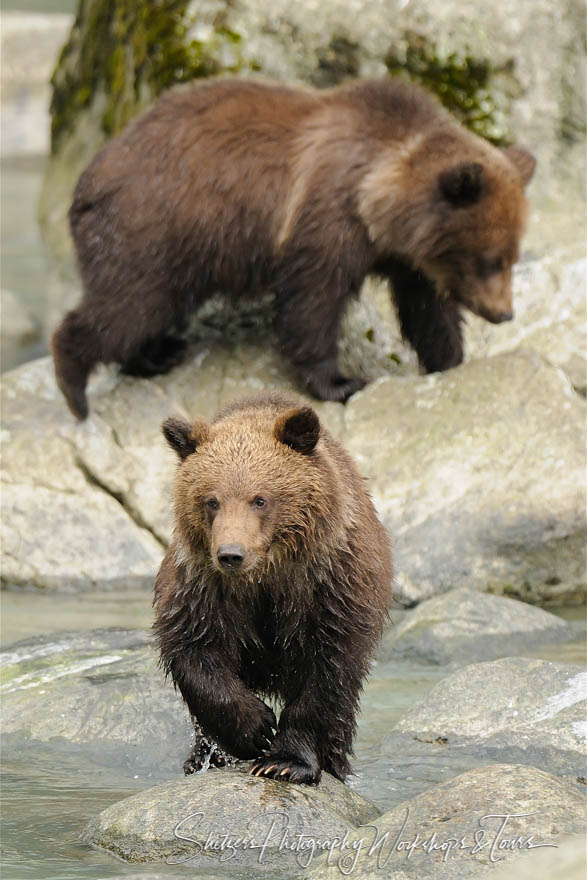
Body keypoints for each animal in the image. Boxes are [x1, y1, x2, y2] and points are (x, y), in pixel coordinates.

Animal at [52, 76, 536, 420]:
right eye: (490, 259)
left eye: (513, 256)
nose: (504, 313)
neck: (377, 201)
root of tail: (86, 182)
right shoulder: (326, 217)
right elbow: (312, 301)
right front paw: (341, 381)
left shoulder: (407, 261)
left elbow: (427, 312)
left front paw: (449, 359)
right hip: (153, 230)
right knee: (128, 306)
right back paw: (76, 388)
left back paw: (157, 354)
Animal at [154, 392, 392, 784]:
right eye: (211, 500)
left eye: (260, 499)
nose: (230, 554)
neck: (266, 575)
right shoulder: (203, 588)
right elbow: (194, 651)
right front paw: (256, 727)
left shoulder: (328, 587)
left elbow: (325, 671)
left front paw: (286, 761)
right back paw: (202, 757)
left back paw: (335, 763)